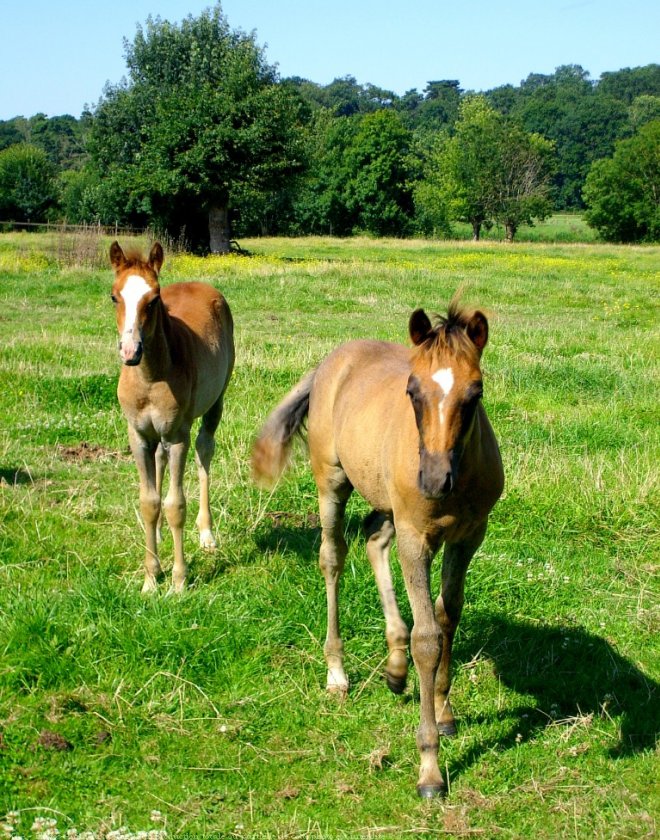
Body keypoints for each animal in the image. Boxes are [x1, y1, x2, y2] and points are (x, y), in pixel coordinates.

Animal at [112, 240, 236, 592]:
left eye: (154, 299)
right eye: (114, 296)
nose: (130, 351)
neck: (151, 377)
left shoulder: (178, 434)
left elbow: (175, 505)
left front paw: (179, 580)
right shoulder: (138, 435)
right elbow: (149, 502)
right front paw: (150, 578)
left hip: (215, 403)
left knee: (204, 451)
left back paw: (207, 534)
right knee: (160, 461)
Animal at [250, 298, 502, 796]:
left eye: (475, 393)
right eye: (412, 391)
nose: (434, 480)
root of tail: (332, 359)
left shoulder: (469, 536)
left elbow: (448, 615)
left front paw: (444, 710)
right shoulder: (417, 538)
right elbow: (428, 637)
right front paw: (429, 768)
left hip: (386, 501)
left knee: (372, 539)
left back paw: (395, 666)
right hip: (334, 482)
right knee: (333, 558)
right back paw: (337, 673)